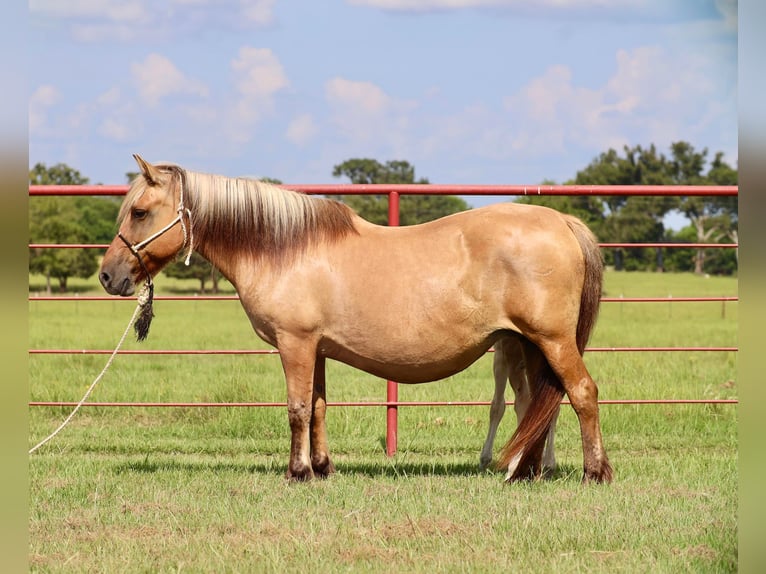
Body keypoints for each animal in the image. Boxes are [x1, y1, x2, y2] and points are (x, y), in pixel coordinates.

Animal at [99, 155, 616, 484]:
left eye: (140, 212)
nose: (108, 275)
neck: (285, 250)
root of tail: (562, 222)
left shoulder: (295, 344)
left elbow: (297, 409)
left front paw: (298, 473)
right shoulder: (317, 349)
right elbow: (319, 408)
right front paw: (323, 467)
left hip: (551, 340)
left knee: (581, 393)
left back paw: (593, 473)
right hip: (527, 344)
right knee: (537, 404)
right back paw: (523, 472)